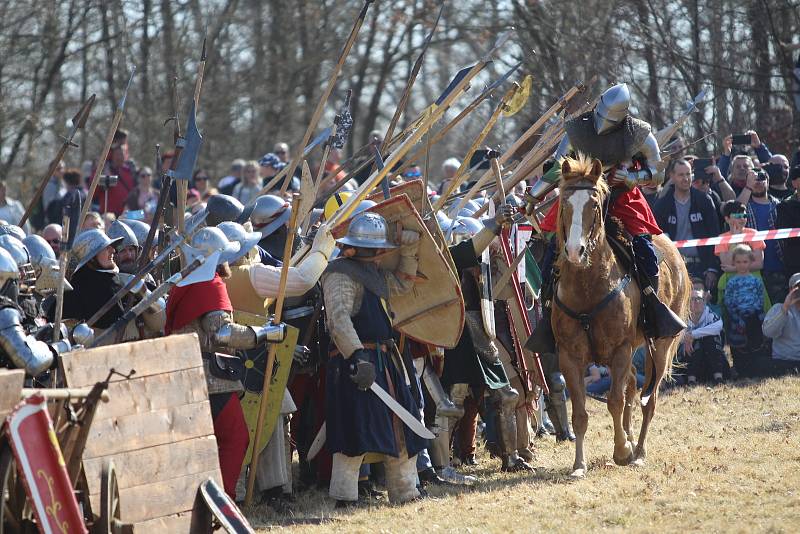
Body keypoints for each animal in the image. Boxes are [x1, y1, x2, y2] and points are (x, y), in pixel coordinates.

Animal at [552, 154, 692, 478]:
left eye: (593, 205)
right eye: (565, 203)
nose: (575, 251)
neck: (589, 287)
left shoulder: (620, 350)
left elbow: (615, 402)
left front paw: (622, 451)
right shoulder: (569, 356)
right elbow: (580, 412)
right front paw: (579, 465)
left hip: (660, 346)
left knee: (647, 398)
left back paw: (638, 451)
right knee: (630, 387)